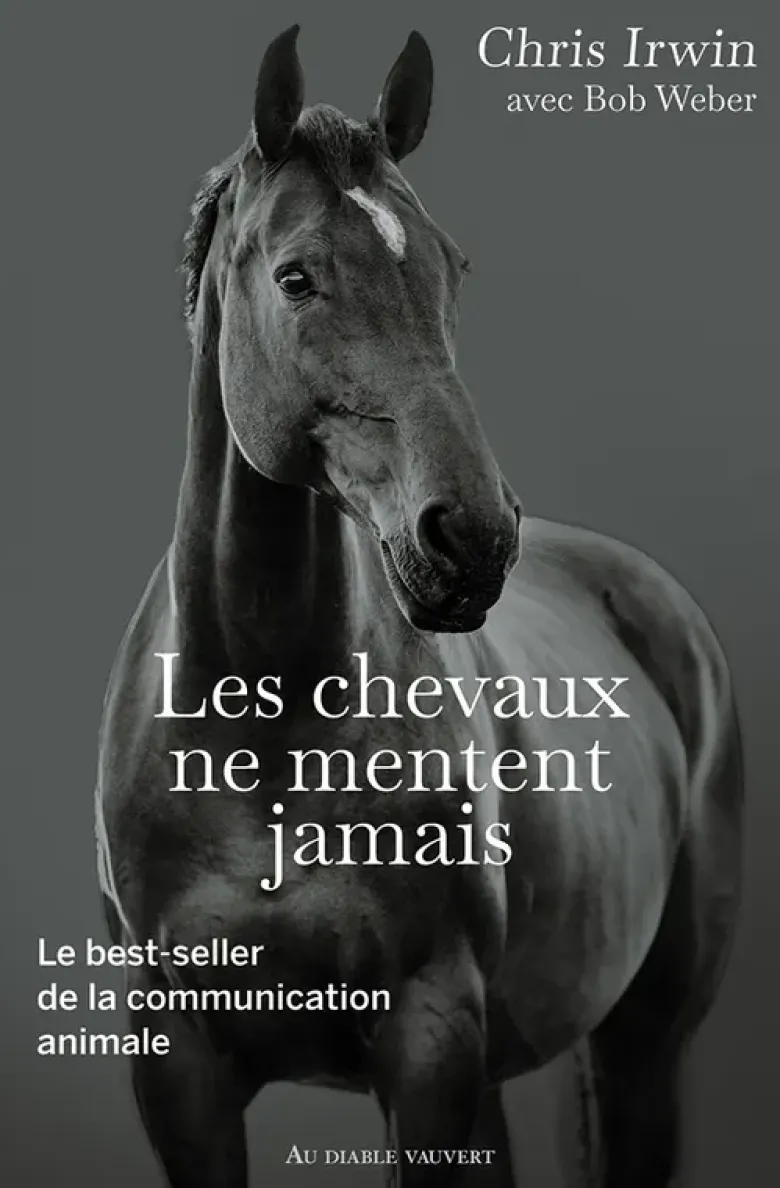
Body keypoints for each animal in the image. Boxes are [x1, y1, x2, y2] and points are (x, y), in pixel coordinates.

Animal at [96, 25, 743, 1188]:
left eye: (452, 267)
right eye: (298, 276)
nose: (473, 538)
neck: (262, 733)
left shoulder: (429, 1041)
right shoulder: (179, 1068)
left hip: (643, 1045)